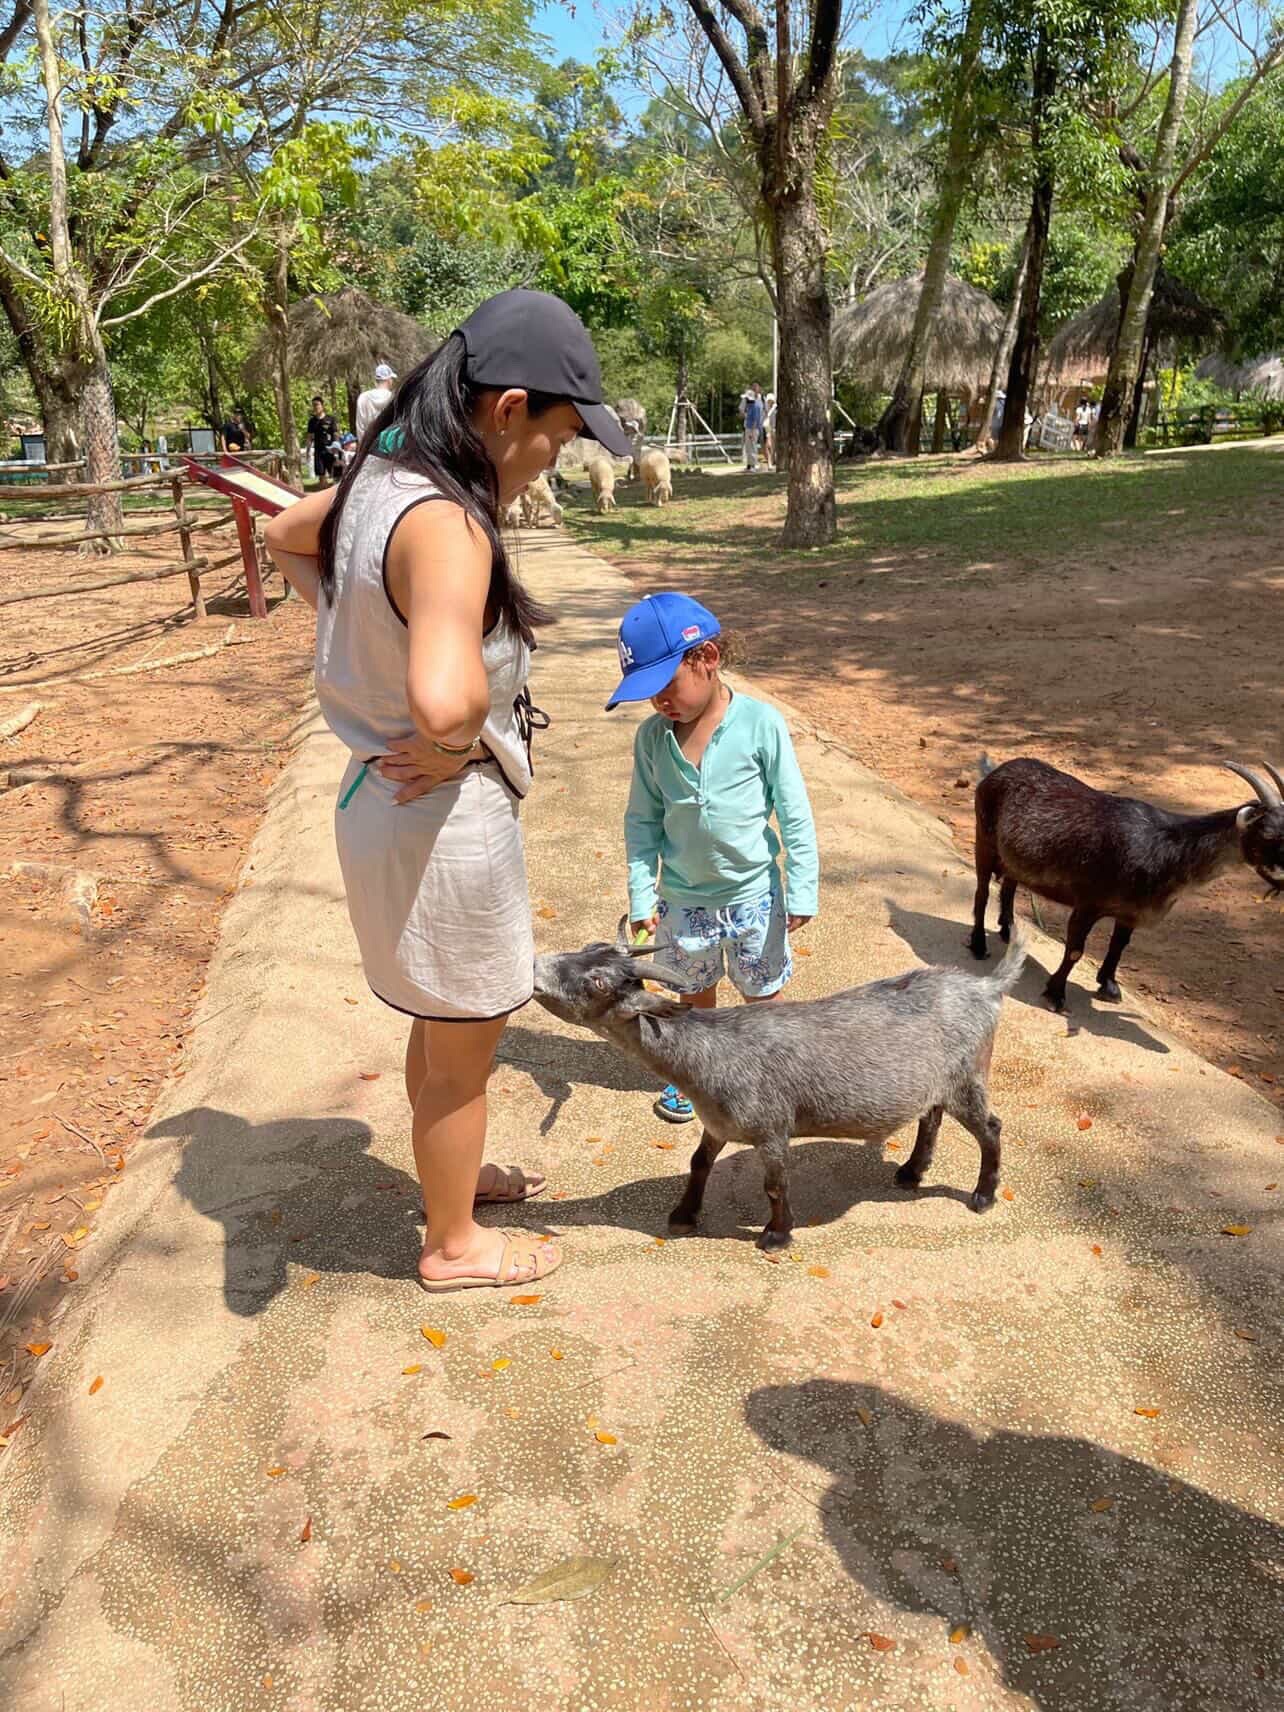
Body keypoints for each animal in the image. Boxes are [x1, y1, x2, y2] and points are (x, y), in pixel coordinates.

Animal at [532, 922, 1027, 1249]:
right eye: (587, 949)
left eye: (598, 982)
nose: (535, 966)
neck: (710, 1052)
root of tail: (986, 988)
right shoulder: (717, 1124)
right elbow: (698, 1163)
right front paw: (684, 1215)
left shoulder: (771, 1129)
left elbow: (775, 1184)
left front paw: (776, 1234)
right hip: (938, 1081)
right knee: (931, 1116)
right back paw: (910, 1171)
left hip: (968, 1077)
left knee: (990, 1128)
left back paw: (983, 1195)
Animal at [970, 757, 1284, 1012]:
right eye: (1269, 835)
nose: (1282, 879)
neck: (1167, 849)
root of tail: (994, 771)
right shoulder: (1088, 903)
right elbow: (1075, 950)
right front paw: (1055, 994)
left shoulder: (1130, 911)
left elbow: (1120, 945)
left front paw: (1108, 985)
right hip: (984, 840)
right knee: (983, 891)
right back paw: (978, 945)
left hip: (1013, 857)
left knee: (1010, 883)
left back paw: (1007, 929)